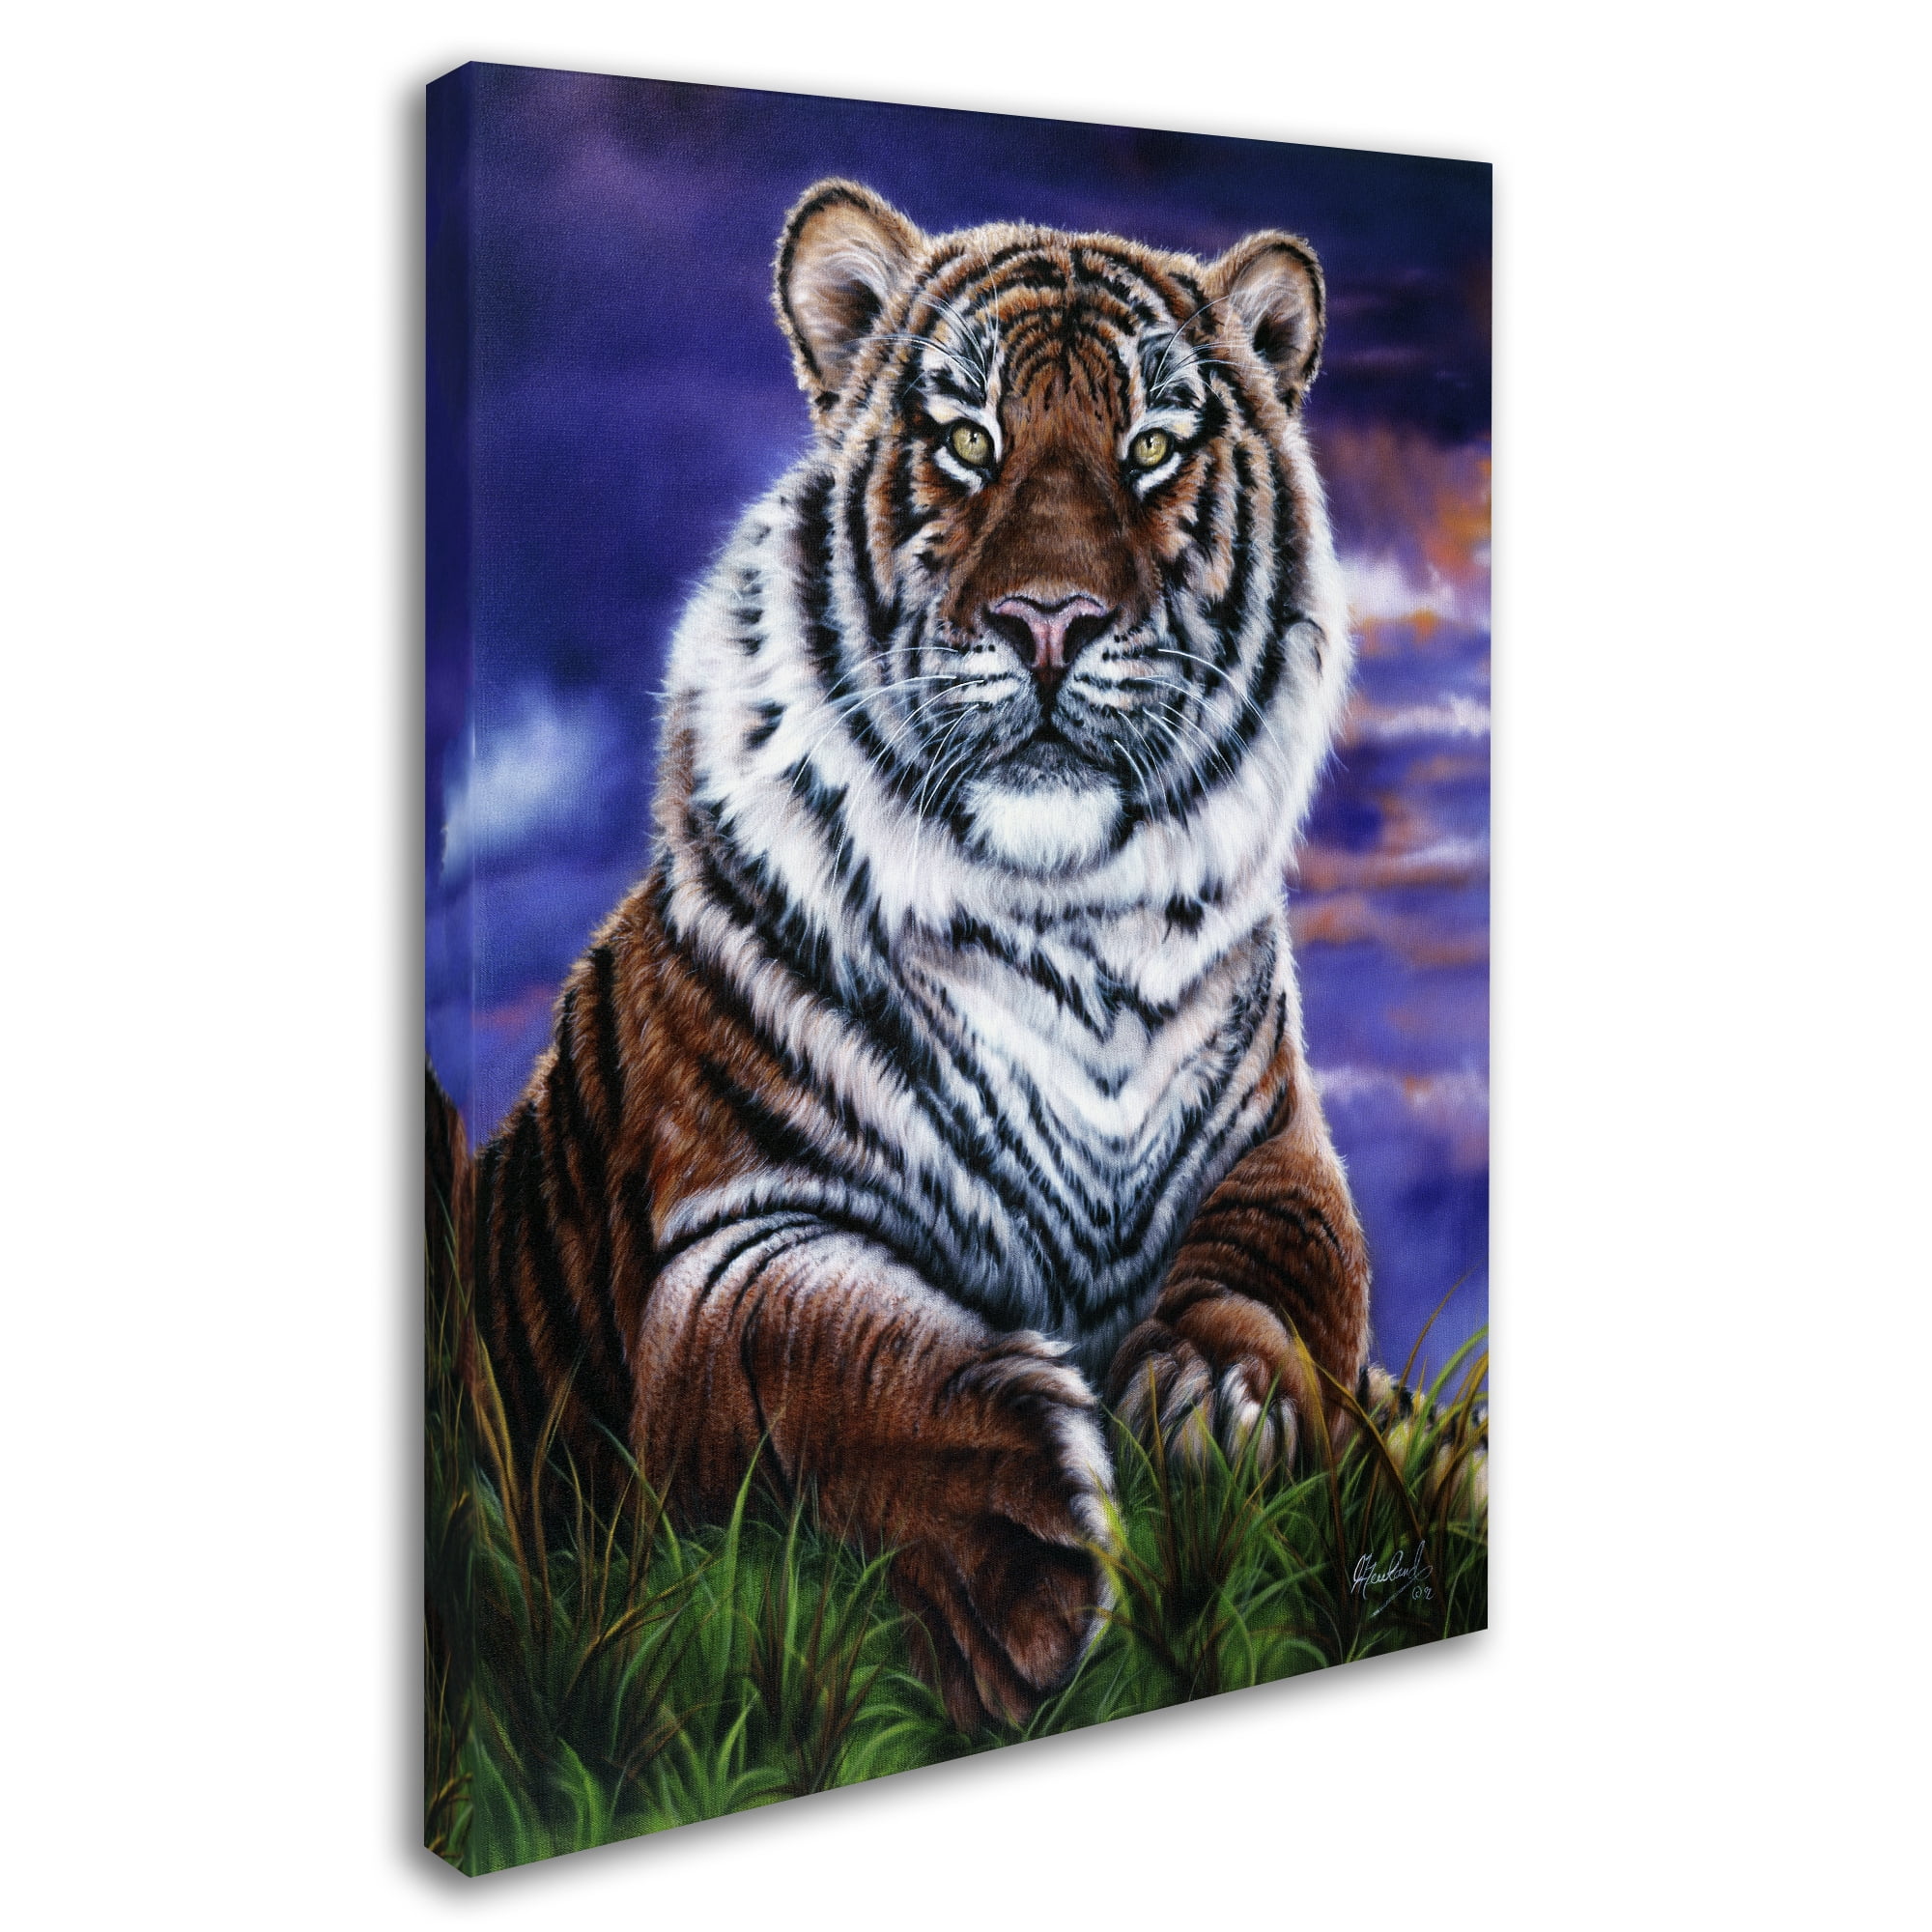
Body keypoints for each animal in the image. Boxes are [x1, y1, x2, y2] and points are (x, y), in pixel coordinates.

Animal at [444, 178, 1373, 1729]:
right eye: (968, 441)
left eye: (1151, 448)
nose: (1049, 620)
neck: (1070, 924)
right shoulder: (728, 1233)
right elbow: (814, 1346)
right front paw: (1017, 1559)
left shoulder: (1279, 1145)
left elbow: (1278, 1276)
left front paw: (1214, 1405)